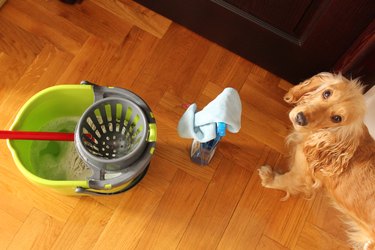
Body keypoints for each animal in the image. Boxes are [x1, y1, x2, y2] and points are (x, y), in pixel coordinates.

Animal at [258, 72, 375, 248]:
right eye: (326, 93)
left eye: (337, 118)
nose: (300, 118)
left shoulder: (301, 173)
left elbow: (285, 180)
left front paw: (269, 178)